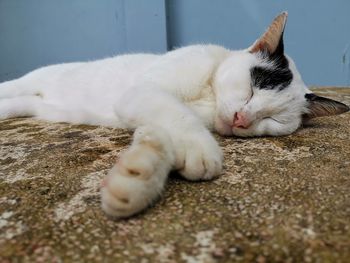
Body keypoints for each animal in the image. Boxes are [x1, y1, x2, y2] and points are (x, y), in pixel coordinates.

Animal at [0, 12, 348, 219]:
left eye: (272, 121)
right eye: (251, 90)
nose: (241, 119)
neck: (208, 96)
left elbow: (163, 130)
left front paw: (139, 178)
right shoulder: (145, 91)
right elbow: (178, 115)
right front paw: (199, 148)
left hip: (35, 105)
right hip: (31, 80)